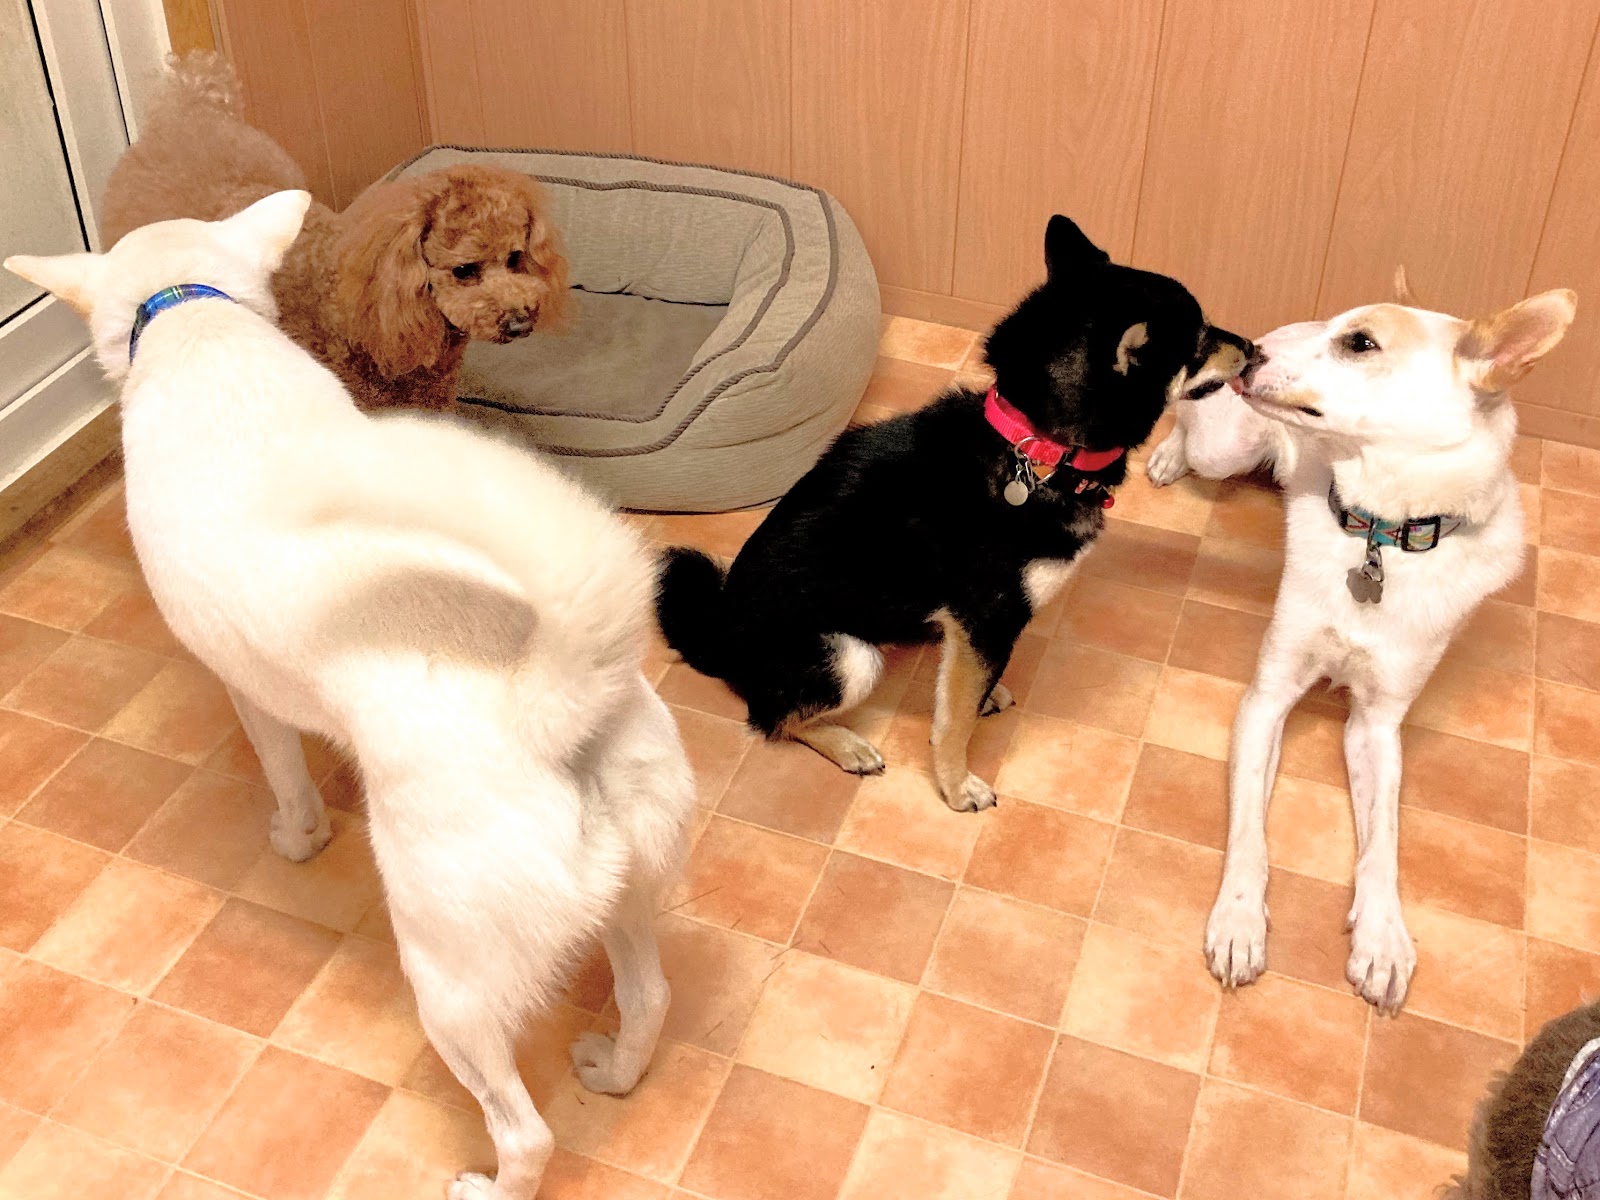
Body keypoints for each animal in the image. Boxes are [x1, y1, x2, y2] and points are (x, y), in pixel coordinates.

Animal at [6, 192, 693, 1200]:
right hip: (630, 889)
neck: (193, 317)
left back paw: (487, 1183)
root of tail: (552, 701)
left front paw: (295, 839)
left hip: (449, 981)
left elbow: (284, 775)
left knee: (525, 1133)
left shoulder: (246, 687)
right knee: (649, 998)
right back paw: (613, 1071)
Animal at [656, 215, 1252, 811]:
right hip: (849, 658)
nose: (1251, 345)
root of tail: (718, 637)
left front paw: (972, 718)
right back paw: (848, 745)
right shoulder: (988, 618)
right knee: (773, 717)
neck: (1036, 451)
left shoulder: (975, 631)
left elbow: (960, 691)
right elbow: (954, 720)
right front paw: (956, 784)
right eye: (1201, 339)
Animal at [1147, 276, 1576, 1013]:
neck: (1380, 535)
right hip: (1223, 445)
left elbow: (1384, 841)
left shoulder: (1377, 725)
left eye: (1362, 342)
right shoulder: (1268, 696)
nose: (1253, 351)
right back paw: (1172, 449)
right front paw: (1238, 920)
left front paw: (1382, 938)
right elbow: (1249, 831)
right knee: (1188, 413)